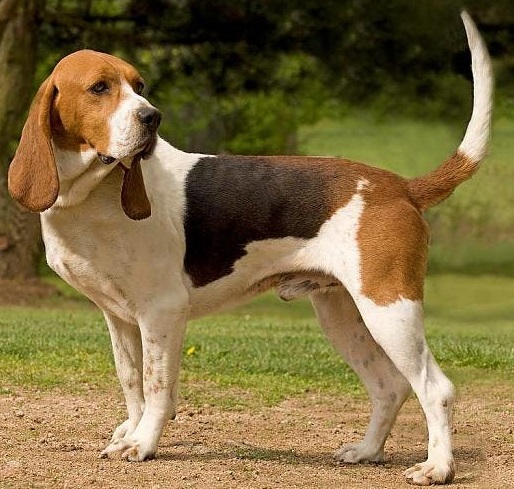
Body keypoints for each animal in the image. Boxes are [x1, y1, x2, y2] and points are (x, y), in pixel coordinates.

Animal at [8, 12, 492, 486]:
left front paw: (142, 443)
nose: (152, 117)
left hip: (389, 308)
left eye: (139, 86)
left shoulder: (162, 310)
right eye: (99, 88)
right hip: (343, 315)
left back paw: (437, 467)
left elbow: (157, 387)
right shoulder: (120, 316)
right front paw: (132, 430)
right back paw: (368, 451)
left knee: (434, 388)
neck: (92, 195)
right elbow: (132, 383)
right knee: (389, 386)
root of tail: (400, 186)